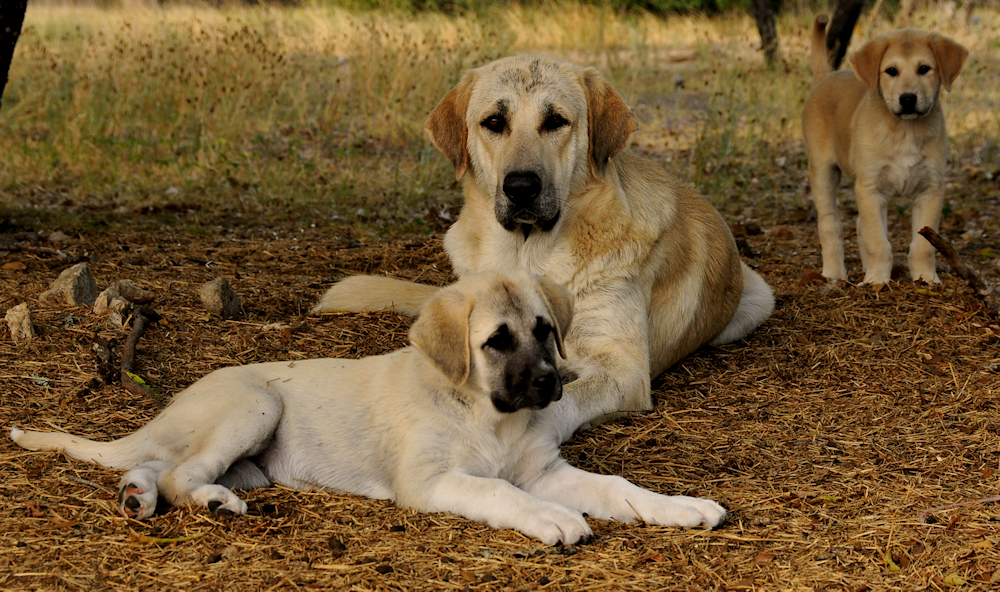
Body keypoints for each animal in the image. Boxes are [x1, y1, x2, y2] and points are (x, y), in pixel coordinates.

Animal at [7, 270, 728, 544]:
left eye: (546, 329)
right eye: (497, 341)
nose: (552, 384)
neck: (485, 414)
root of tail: (172, 405)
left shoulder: (544, 469)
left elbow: (616, 486)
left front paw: (679, 507)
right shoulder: (433, 480)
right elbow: (501, 493)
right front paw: (552, 519)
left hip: (247, 458)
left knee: (159, 467)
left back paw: (139, 497)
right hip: (254, 406)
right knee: (183, 474)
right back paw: (206, 502)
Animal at [312, 54, 772, 434]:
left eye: (556, 122)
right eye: (494, 122)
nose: (520, 187)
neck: (528, 254)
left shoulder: (622, 369)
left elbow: (563, 402)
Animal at [800, 17, 964, 286]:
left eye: (924, 68)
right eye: (891, 71)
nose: (907, 99)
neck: (905, 132)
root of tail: (828, 76)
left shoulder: (930, 190)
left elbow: (923, 245)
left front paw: (926, 278)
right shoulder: (870, 188)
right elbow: (878, 241)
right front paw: (877, 280)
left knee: (859, 224)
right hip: (823, 171)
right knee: (830, 224)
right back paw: (834, 272)